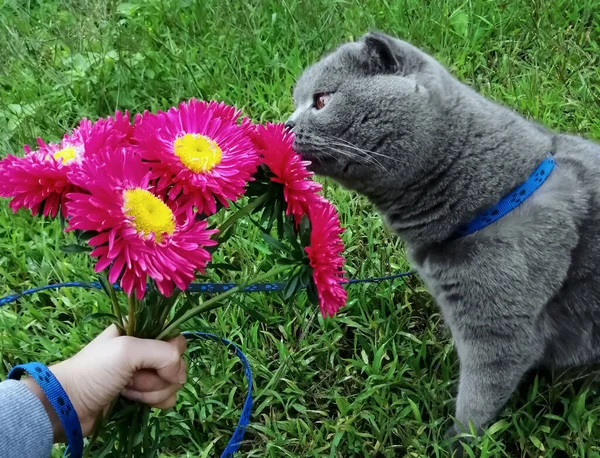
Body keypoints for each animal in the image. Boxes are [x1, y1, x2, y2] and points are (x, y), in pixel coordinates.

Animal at [286, 31, 600, 448]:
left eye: (321, 100)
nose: (285, 126)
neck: (500, 193)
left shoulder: (498, 331)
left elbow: (477, 399)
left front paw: (453, 442)